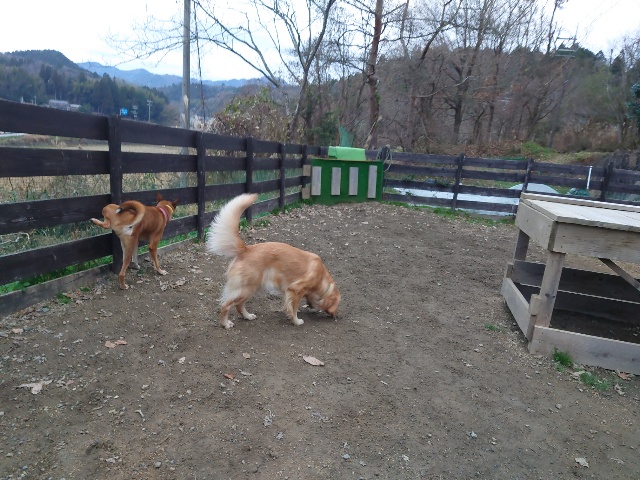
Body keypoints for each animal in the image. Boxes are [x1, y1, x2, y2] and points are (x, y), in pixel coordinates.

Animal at [206, 193, 341, 329]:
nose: (335, 317)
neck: (321, 278)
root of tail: (247, 249)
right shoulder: (295, 290)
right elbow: (294, 308)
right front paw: (296, 321)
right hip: (247, 288)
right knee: (226, 305)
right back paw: (225, 324)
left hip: (252, 287)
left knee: (239, 305)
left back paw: (248, 316)